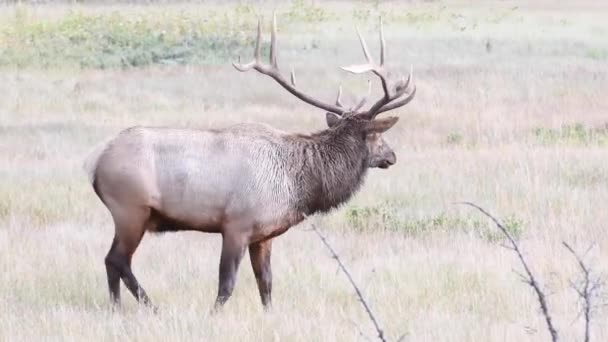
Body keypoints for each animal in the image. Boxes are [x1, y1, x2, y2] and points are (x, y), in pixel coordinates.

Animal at [85, 15, 416, 310]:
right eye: (376, 135)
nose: (392, 156)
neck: (297, 185)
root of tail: (94, 163)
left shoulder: (263, 235)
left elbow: (266, 283)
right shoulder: (236, 225)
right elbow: (226, 284)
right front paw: (213, 316)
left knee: (112, 261)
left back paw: (116, 307)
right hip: (131, 210)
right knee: (117, 260)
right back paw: (150, 307)